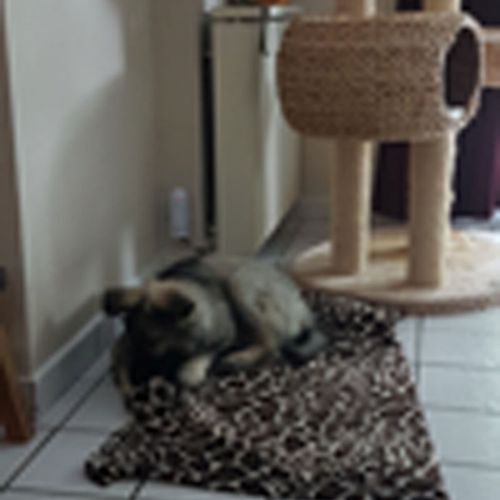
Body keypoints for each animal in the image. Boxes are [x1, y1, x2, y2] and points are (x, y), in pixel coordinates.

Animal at [102, 257, 326, 395]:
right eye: (133, 339)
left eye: (153, 344)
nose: (136, 382)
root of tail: (301, 306)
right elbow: (118, 354)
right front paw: (124, 380)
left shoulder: (224, 334)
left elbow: (196, 364)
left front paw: (191, 369)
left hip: (240, 284)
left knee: (272, 348)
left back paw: (236, 360)